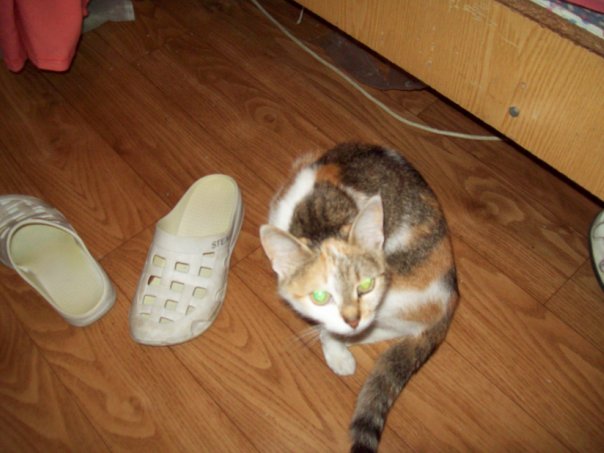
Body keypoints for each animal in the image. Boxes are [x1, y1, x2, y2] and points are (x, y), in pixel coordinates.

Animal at [259, 143, 459, 452]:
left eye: (365, 285)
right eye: (320, 296)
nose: (352, 321)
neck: (319, 216)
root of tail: (450, 299)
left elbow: (335, 329)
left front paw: (336, 350)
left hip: (401, 291)